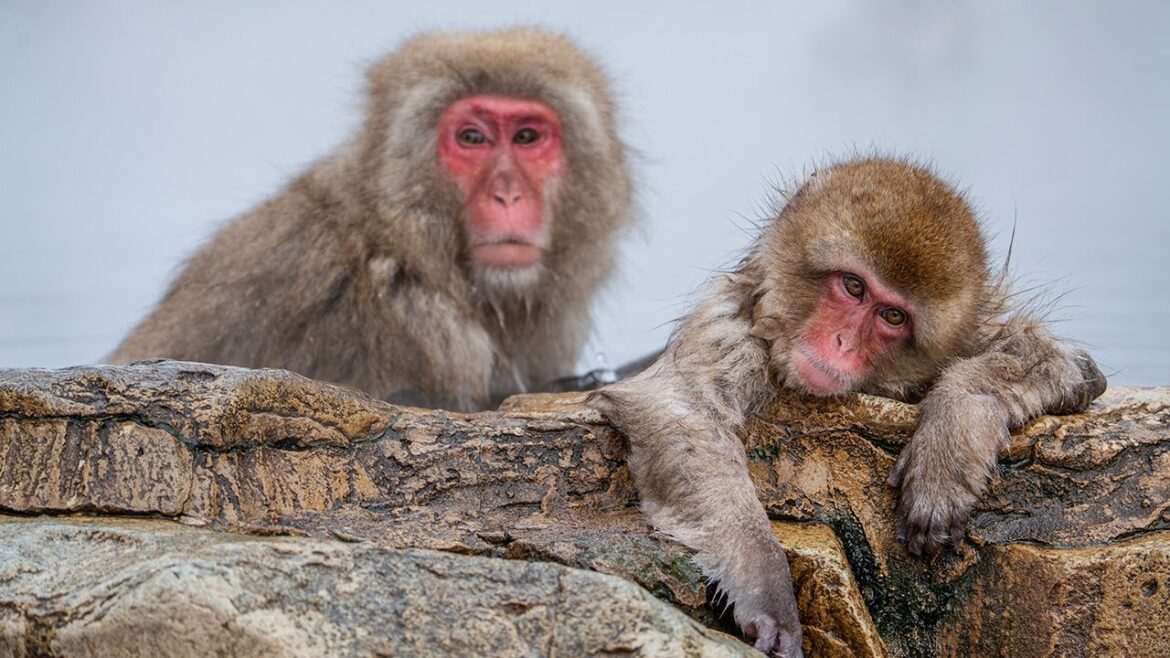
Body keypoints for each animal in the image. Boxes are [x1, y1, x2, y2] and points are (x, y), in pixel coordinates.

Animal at [589, 157, 1106, 657]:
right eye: (854, 287)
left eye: (892, 316)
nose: (842, 343)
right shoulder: (731, 326)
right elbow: (684, 409)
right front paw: (765, 583)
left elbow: (1076, 369)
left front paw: (948, 442)